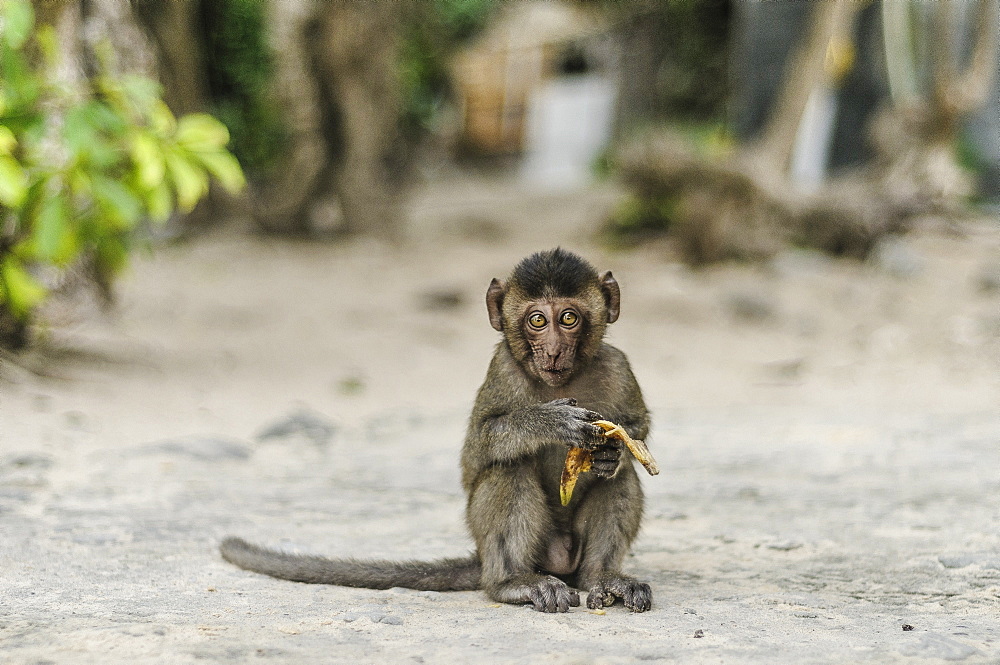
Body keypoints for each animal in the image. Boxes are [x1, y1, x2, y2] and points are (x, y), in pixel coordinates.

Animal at [222, 248, 652, 612]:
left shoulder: (618, 365)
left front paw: (612, 451)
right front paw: (552, 422)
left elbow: (637, 429)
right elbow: (478, 450)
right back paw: (513, 582)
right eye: (537, 320)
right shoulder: (503, 369)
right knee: (507, 468)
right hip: (522, 552)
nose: (554, 351)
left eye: (568, 318)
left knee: (619, 479)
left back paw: (602, 576)